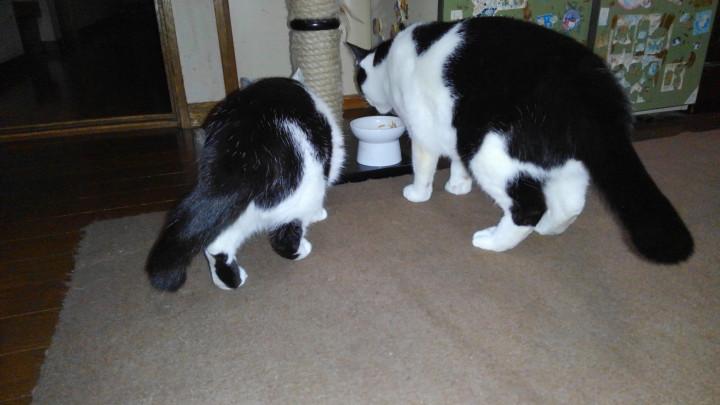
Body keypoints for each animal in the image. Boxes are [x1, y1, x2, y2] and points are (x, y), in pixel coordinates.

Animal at [146, 73, 345, 291]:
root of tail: (242, 155)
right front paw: (319, 214)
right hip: (305, 190)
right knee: (283, 239)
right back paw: (302, 248)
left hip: (235, 211)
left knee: (216, 246)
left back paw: (232, 281)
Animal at [348, 16, 693, 263]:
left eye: (359, 81)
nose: (370, 102)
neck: (390, 64)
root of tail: (590, 86)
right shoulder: (453, 127)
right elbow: (457, 161)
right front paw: (458, 185)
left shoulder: (424, 133)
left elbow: (423, 167)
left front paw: (418, 193)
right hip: (563, 161)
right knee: (570, 205)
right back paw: (548, 228)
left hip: (488, 149)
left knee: (528, 206)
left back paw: (493, 241)